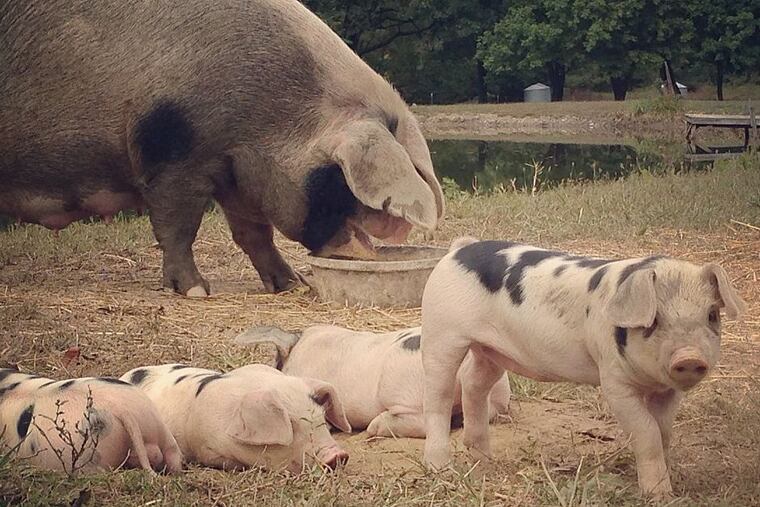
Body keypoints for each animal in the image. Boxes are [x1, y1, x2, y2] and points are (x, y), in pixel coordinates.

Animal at [0, 0, 444, 297]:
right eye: (339, 178)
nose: (397, 228)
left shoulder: (236, 168)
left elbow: (254, 233)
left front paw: (290, 284)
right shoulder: (174, 156)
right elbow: (178, 226)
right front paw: (196, 292)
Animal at [421, 237, 746, 497]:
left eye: (712, 314)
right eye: (654, 319)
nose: (689, 357)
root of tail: (458, 249)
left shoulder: (667, 390)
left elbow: (662, 431)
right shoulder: (614, 382)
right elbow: (647, 431)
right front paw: (659, 496)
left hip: (491, 351)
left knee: (474, 383)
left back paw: (485, 460)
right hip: (442, 333)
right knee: (439, 397)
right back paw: (441, 468)